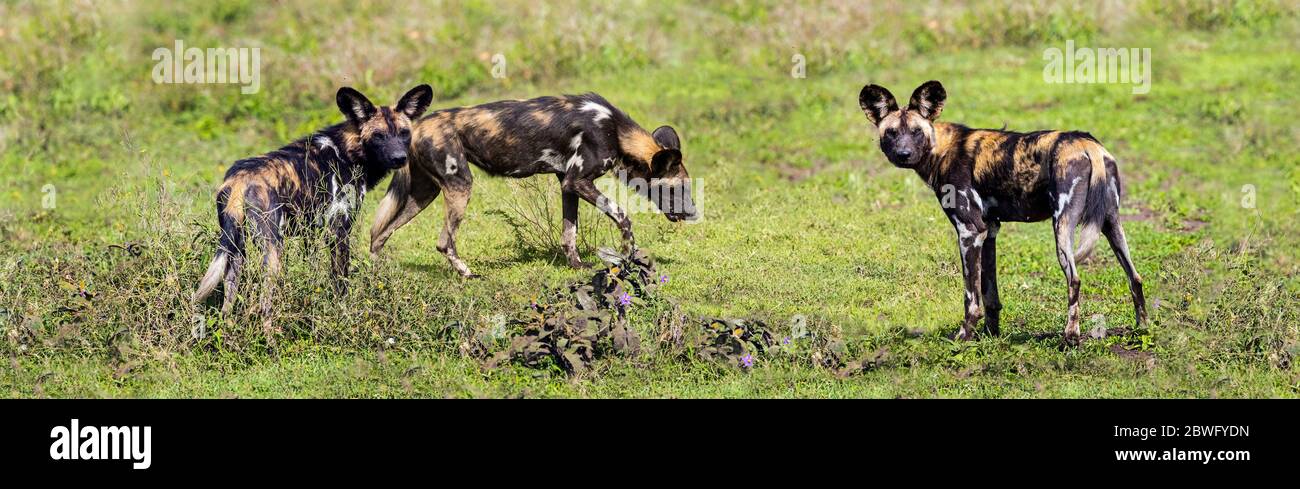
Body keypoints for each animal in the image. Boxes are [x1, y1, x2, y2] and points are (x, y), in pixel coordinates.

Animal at [191, 83, 436, 335]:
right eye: (378, 136)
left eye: (404, 133)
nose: (399, 158)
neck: (349, 151)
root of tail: (240, 179)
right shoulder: (338, 232)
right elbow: (341, 283)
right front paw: (343, 317)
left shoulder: (310, 233)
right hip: (273, 251)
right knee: (265, 302)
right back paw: (270, 338)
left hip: (235, 251)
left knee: (228, 301)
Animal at [371, 91, 696, 275]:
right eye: (676, 189)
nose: (693, 213)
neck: (615, 130)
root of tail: (417, 126)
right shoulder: (579, 181)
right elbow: (623, 216)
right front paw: (626, 255)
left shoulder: (568, 184)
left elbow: (569, 235)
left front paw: (577, 267)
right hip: (459, 186)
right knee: (443, 242)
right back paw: (466, 272)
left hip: (424, 194)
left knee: (379, 234)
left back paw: (379, 275)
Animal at [863, 80, 1149, 345]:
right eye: (891, 132)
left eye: (916, 132)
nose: (903, 154)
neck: (940, 149)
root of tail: (1087, 144)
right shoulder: (988, 231)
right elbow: (990, 296)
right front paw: (991, 335)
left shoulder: (969, 232)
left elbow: (971, 298)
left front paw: (963, 338)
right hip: (1112, 224)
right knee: (1135, 277)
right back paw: (1142, 330)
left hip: (1062, 227)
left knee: (1075, 280)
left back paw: (1070, 338)